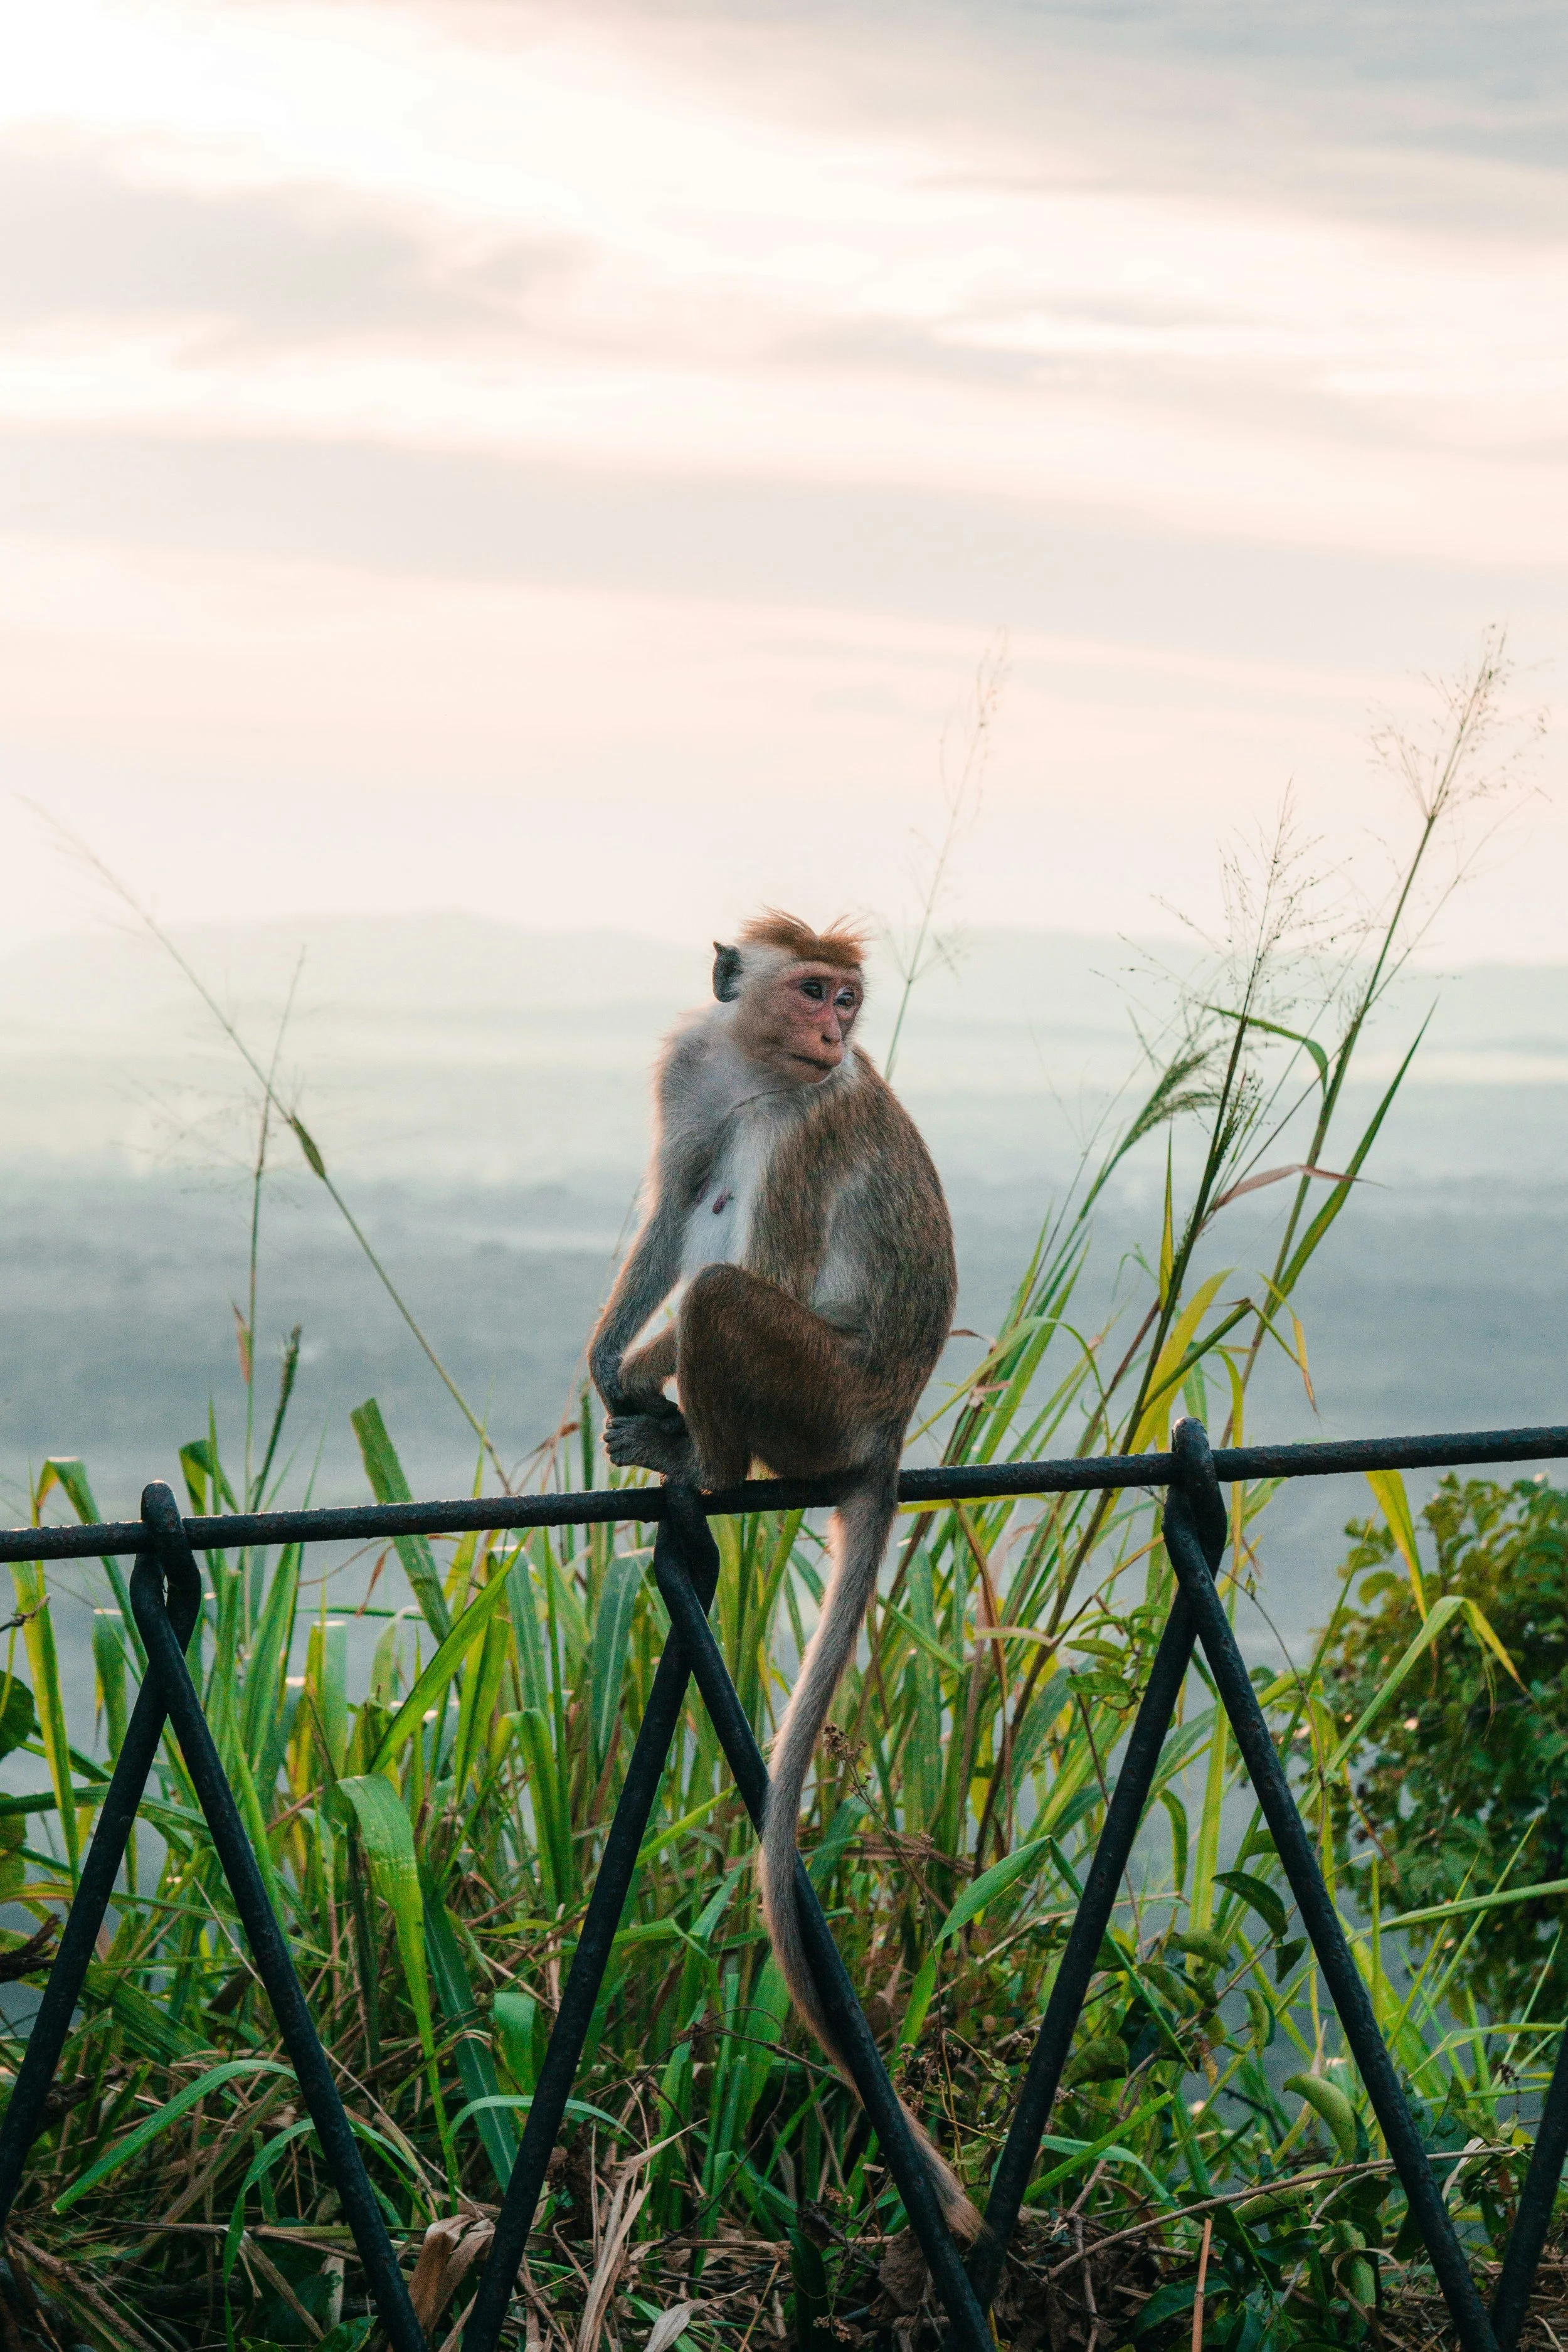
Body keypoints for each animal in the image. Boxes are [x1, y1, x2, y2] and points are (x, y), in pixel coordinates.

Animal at [588, 910, 975, 2239]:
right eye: (815, 990)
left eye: (846, 1002)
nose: (832, 1032)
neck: (762, 1071)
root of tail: (888, 1425)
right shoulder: (692, 1072)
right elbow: (669, 1205)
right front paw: (605, 1361)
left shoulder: (811, 1127)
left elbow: (761, 1254)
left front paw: (638, 1381)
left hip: (819, 1397)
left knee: (725, 1290)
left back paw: (702, 1455)